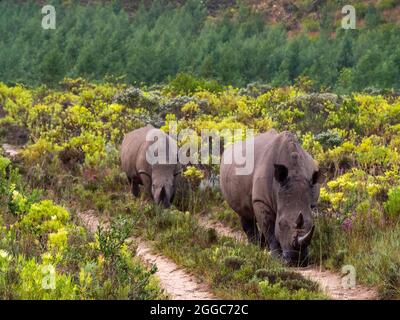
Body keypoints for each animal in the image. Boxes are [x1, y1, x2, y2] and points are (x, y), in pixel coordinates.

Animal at [219, 129, 322, 266]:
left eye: (312, 226)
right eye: (280, 223)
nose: (296, 261)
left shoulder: (311, 202)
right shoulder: (261, 200)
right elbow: (270, 229)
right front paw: (276, 258)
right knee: (244, 213)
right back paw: (255, 247)